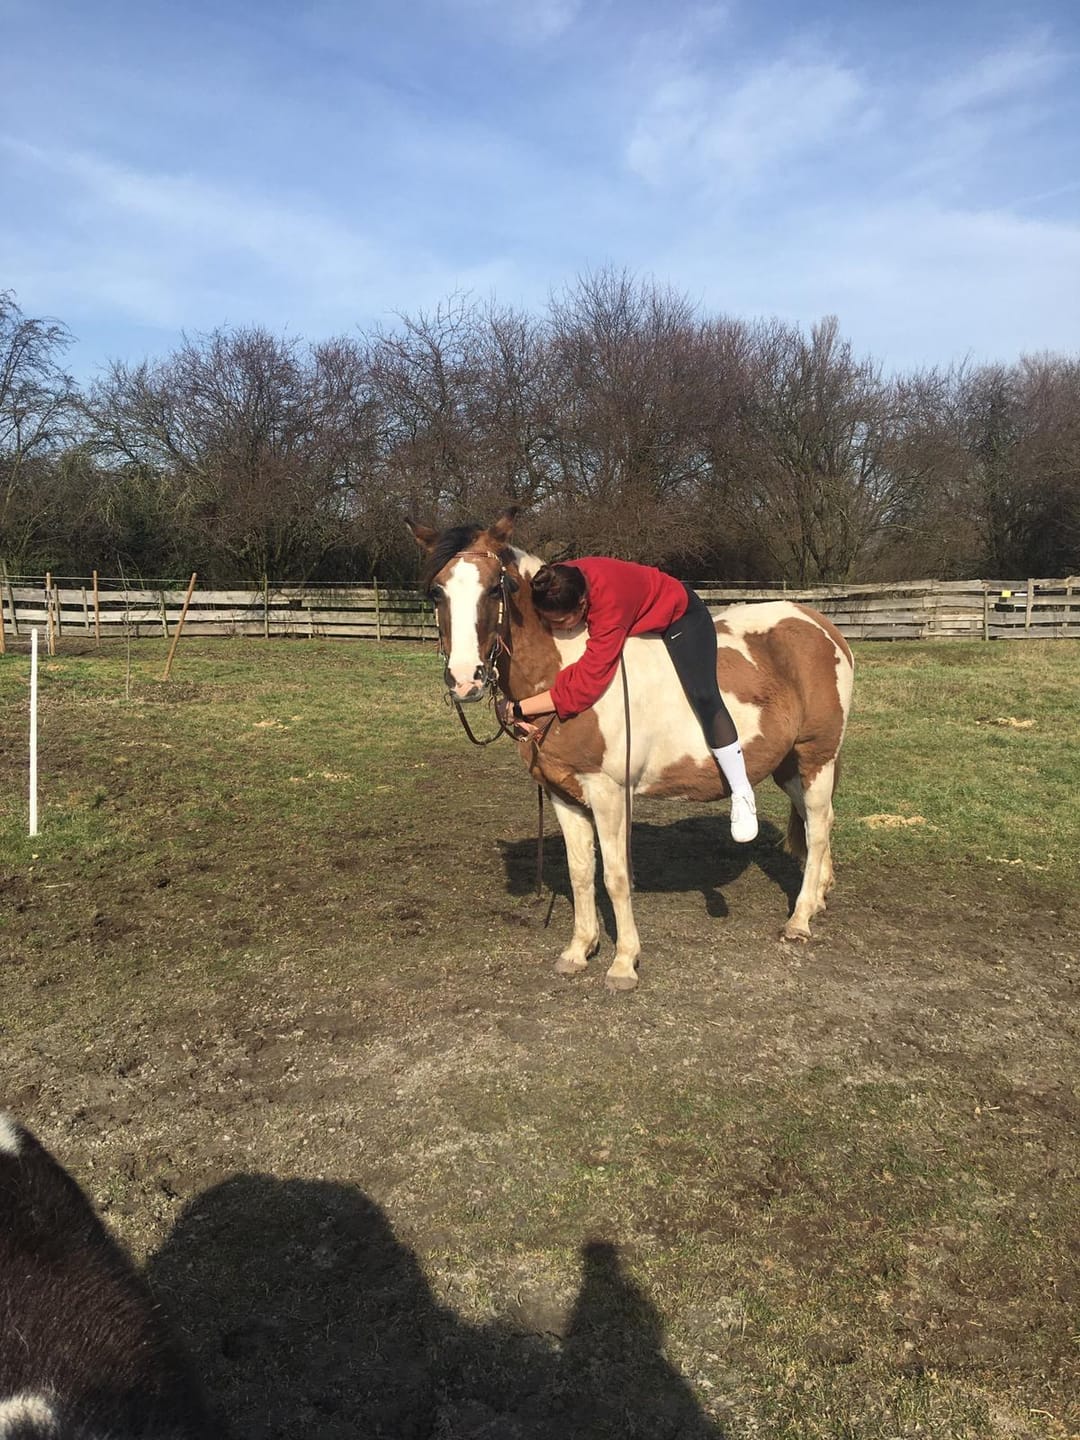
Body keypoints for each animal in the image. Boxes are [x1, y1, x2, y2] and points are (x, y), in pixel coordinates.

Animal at [408, 510, 854, 991]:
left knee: (818, 826)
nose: (464, 679)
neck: (564, 668)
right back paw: (819, 896)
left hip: (816, 757)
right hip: (790, 766)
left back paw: (800, 918)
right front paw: (578, 950)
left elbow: (615, 876)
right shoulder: (564, 795)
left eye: (496, 587)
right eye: (437, 591)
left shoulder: (607, 793)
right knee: (816, 822)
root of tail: (821, 626)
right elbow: (580, 873)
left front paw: (624, 963)